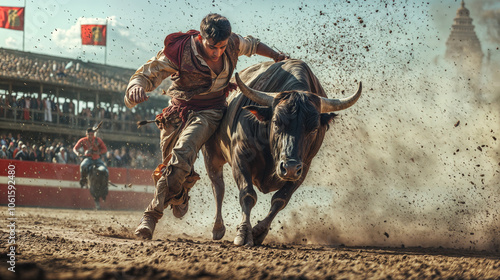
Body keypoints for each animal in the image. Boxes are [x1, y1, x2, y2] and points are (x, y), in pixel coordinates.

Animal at [201, 59, 362, 245]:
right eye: (276, 122)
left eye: (314, 129)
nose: (289, 168)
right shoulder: (240, 158)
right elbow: (247, 194)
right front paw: (243, 233)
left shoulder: (303, 169)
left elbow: (280, 200)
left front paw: (259, 232)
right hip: (211, 154)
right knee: (218, 187)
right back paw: (217, 229)